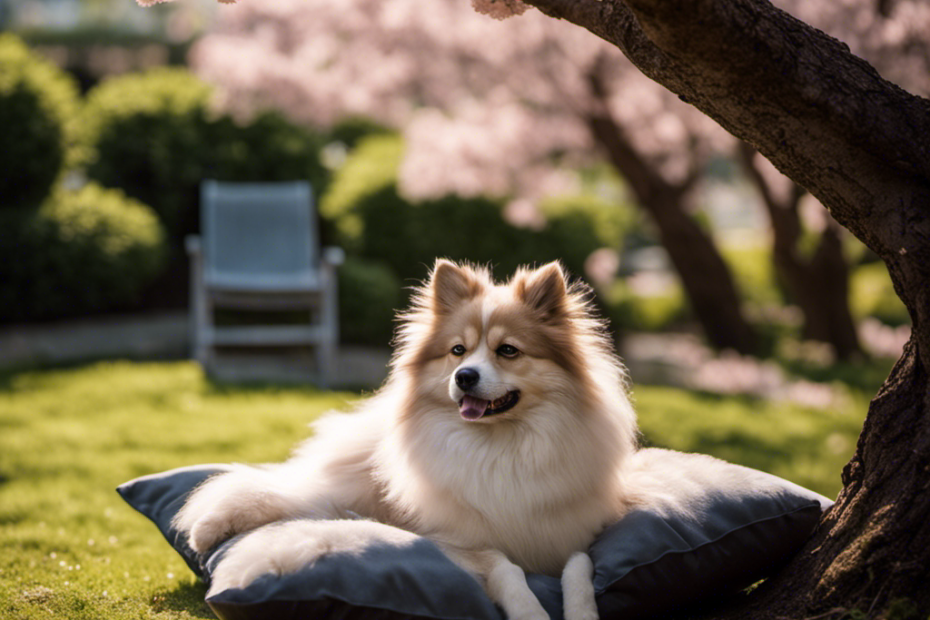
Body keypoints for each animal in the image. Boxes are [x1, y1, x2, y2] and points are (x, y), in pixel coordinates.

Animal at [172, 262, 640, 620]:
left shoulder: (573, 535)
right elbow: (505, 567)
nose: (464, 376)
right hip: (346, 487)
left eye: (508, 350)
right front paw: (530, 611)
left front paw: (582, 612)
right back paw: (207, 528)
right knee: (284, 492)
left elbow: (580, 569)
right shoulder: (454, 539)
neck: (500, 445)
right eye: (457, 351)